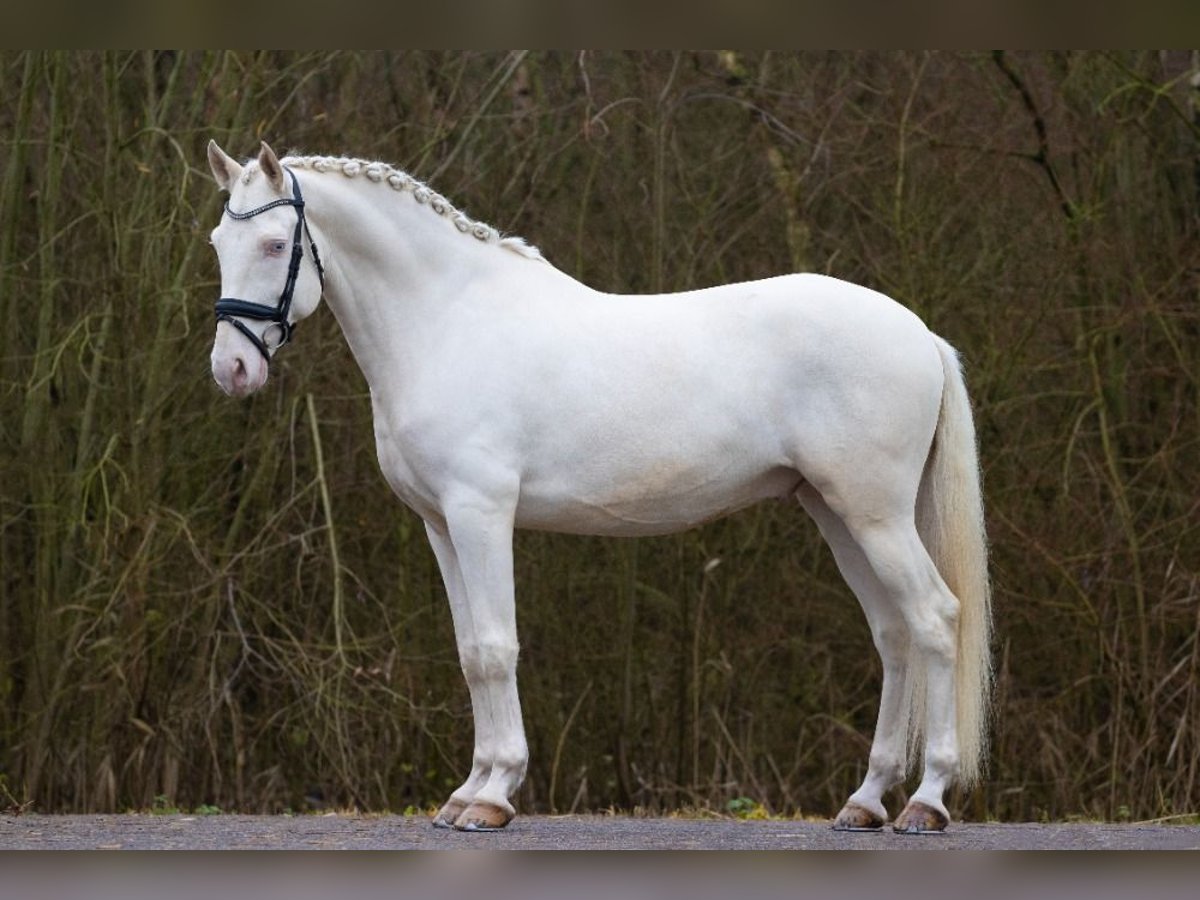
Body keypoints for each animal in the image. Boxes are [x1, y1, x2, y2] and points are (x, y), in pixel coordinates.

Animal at [208, 141, 993, 840]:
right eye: (219, 240)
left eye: (275, 244)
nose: (231, 370)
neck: (449, 322)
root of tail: (918, 332)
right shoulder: (440, 525)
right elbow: (469, 652)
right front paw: (467, 791)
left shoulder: (480, 513)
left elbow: (494, 647)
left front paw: (492, 798)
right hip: (835, 511)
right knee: (892, 633)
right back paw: (865, 801)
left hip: (876, 513)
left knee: (934, 618)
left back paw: (926, 802)